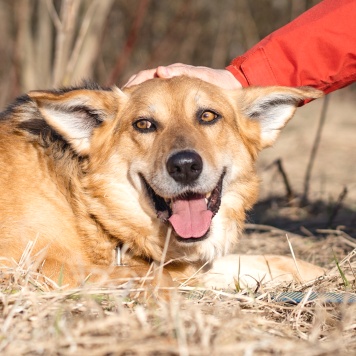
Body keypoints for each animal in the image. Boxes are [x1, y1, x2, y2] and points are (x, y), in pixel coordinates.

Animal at [0, 76, 322, 290]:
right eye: (144, 124)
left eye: (208, 116)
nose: (185, 166)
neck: (89, 209)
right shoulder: (41, 265)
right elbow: (156, 275)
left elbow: (267, 261)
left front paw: (322, 274)